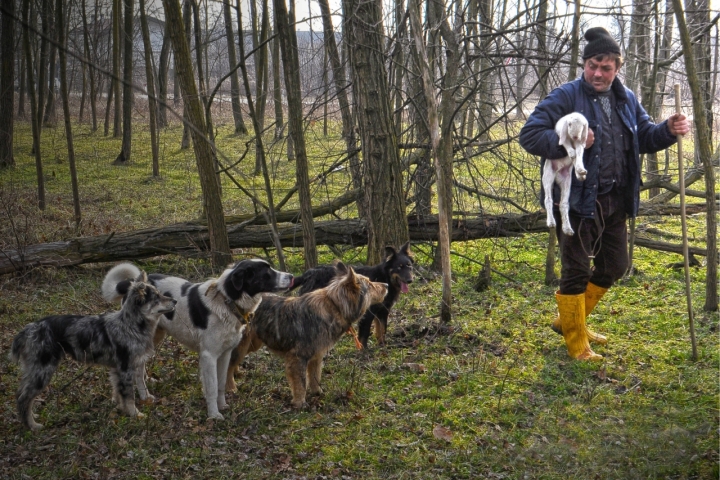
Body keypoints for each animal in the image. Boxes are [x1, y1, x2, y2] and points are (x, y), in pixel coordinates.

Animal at [10, 274, 176, 432]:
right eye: (156, 297)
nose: (174, 301)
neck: (130, 325)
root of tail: (30, 329)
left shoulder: (121, 369)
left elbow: (121, 392)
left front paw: (122, 408)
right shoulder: (125, 369)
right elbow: (129, 396)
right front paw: (135, 414)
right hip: (43, 371)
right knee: (23, 398)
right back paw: (32, 425)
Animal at [101, 258, 292, 420]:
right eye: (267, 272)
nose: (291, 276)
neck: (226, 301)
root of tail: (133, 283)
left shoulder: (225, 354)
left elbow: (221, 383)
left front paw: (222, 406)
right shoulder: (209, 356)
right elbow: (212, 387)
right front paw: (214, 415)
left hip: (156, 335)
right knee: (138, 370)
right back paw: (144, 395)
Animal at [229, 262, 388, 408]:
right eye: (370, 284)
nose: (386, 284)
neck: (335, 305)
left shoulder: (316, 356)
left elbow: (314, 376)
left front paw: (317, 393)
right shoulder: (297, 357)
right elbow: (300, 383)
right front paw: (300, 402)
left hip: (252, 343)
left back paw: (237, 374)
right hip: (243, 345)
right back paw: (231, 389)